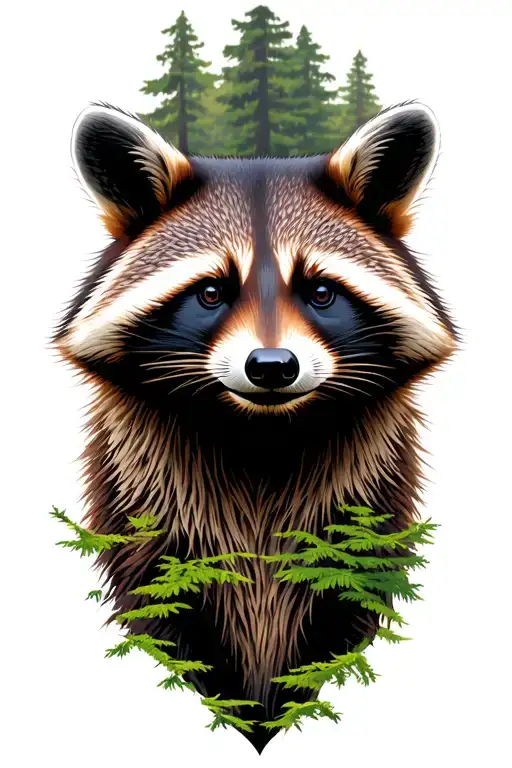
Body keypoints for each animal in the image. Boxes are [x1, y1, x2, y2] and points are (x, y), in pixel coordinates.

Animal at [52, 101, 458, 753]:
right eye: (212, 292)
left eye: (321, 292)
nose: (272, 366)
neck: (263, 436)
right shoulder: (151, 507)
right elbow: (164, 597)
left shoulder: (361, 505)